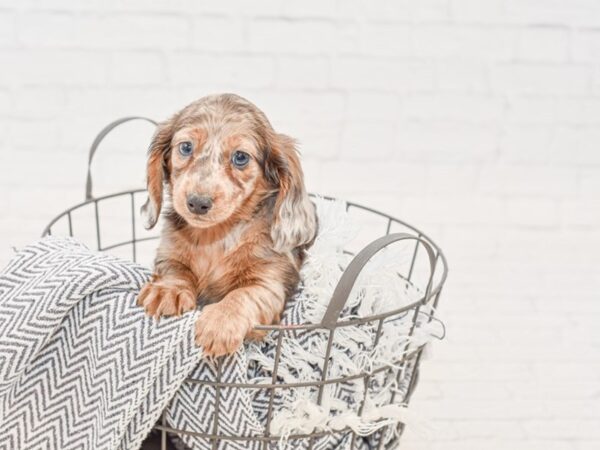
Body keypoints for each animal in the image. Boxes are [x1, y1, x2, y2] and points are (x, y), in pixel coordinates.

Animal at [137, 94, 318, 358]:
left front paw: (221, 321)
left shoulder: (270, 280)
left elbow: (244, 293)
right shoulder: (169, 254)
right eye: (186, 147)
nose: (197, 203)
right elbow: (175, 269)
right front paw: (167, 290)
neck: (215, 237)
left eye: (240, 157)